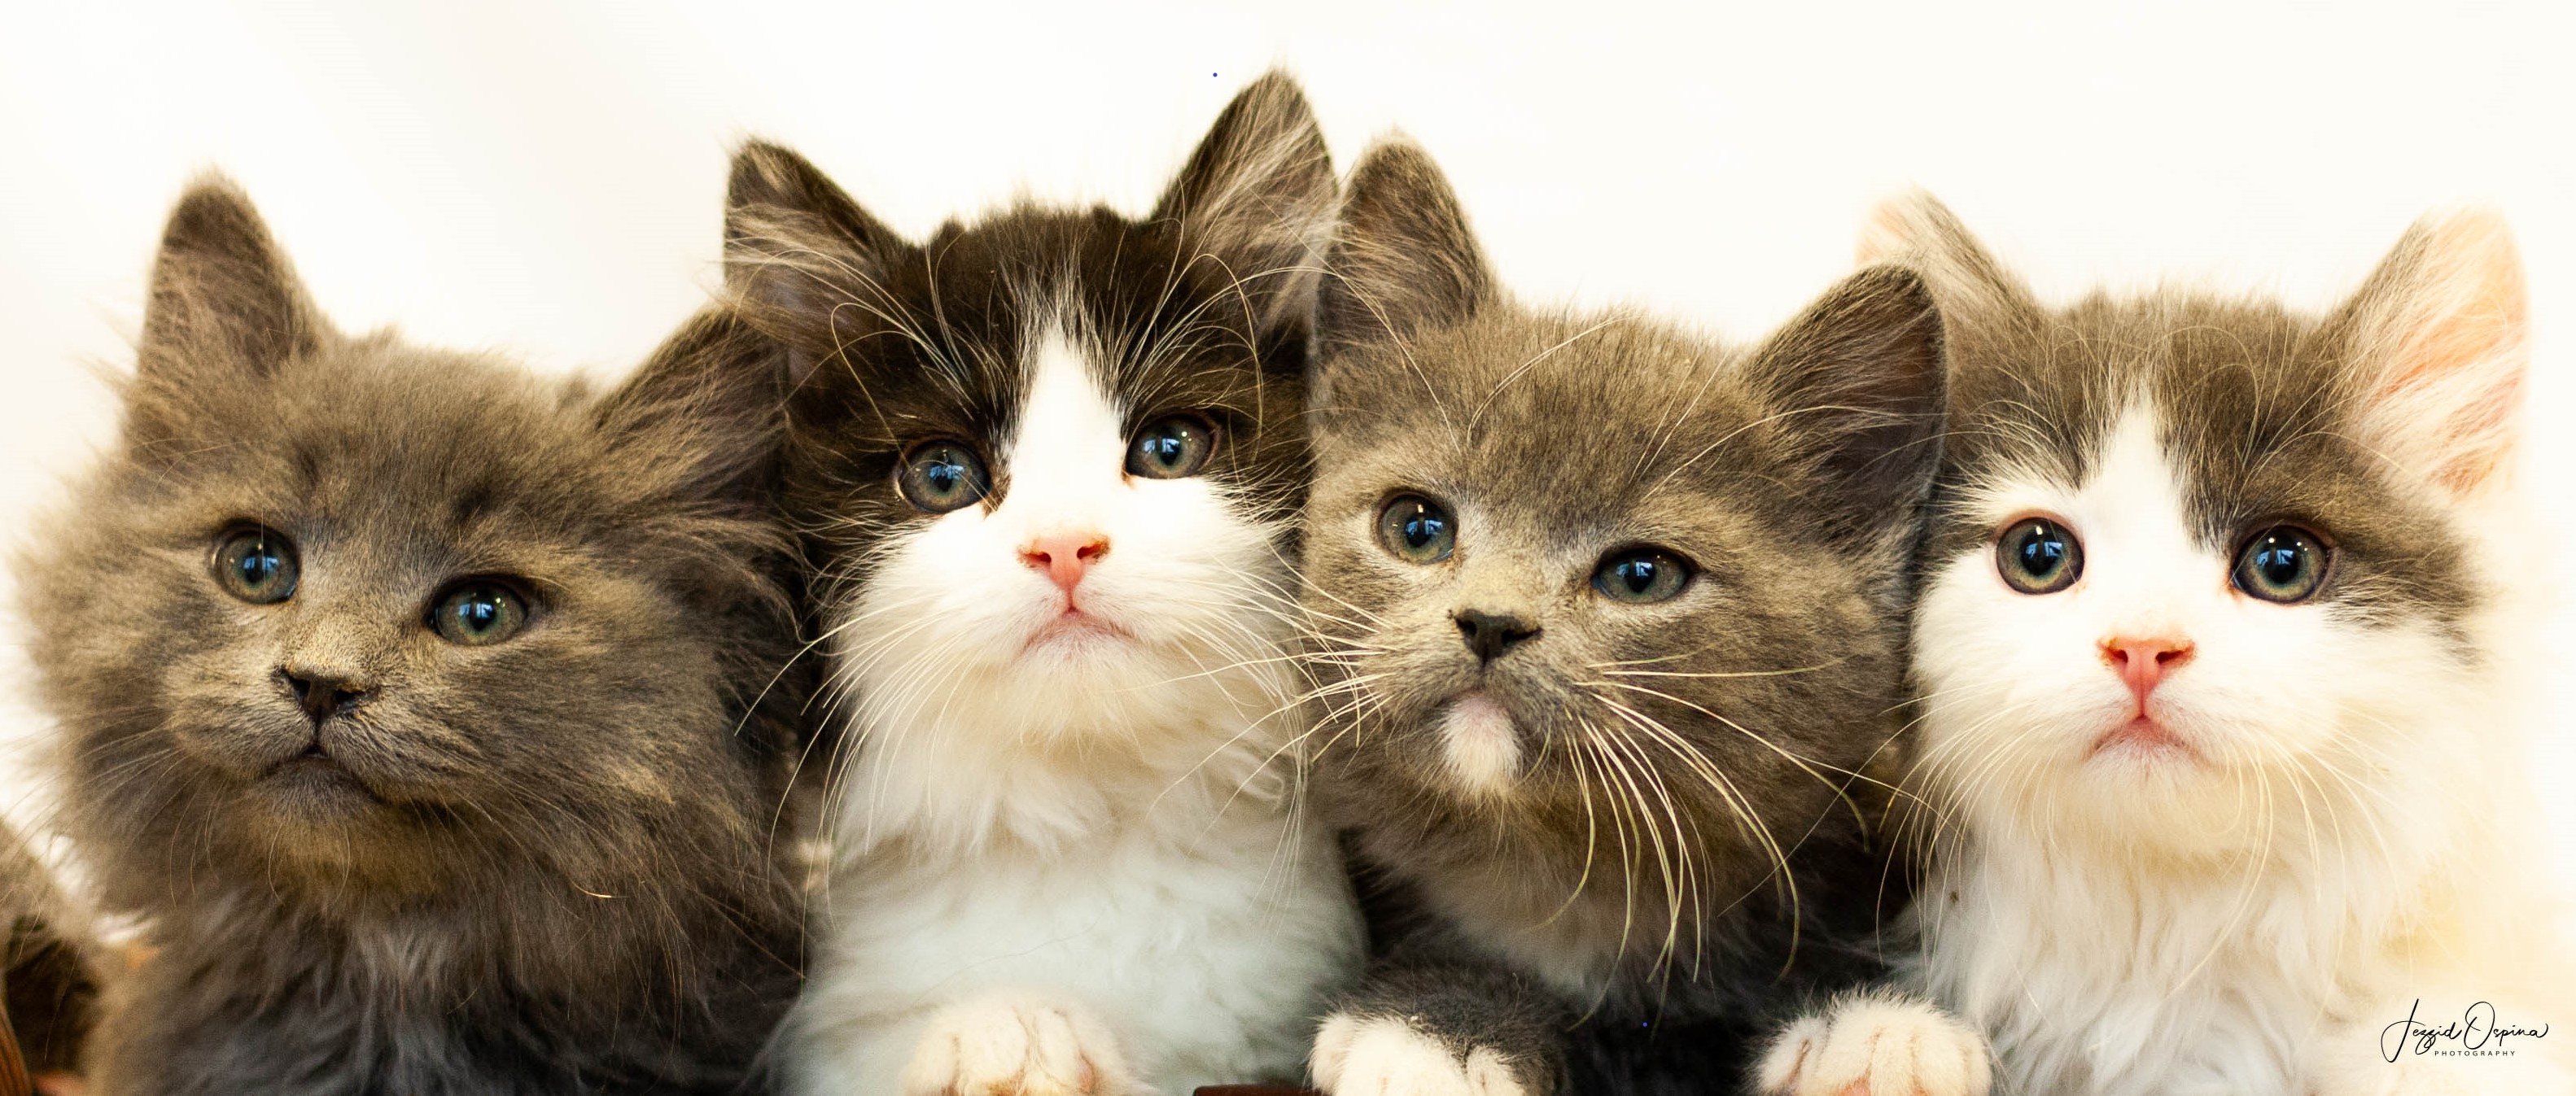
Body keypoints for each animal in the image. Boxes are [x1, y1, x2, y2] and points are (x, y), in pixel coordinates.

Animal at [1298, 141, 1978, 1096]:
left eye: (1641, 575)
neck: (1568, 881)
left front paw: (1875, 1024)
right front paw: (1435, 1030)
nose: (1490, 622)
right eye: (1416, 526)